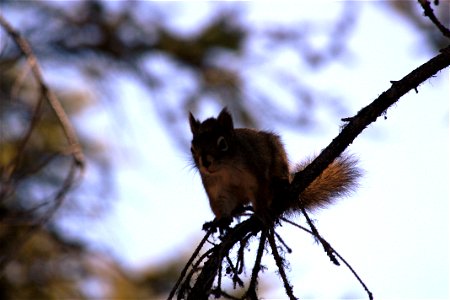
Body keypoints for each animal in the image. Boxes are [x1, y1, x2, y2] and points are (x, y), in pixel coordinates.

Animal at [188, 108, 360, 223]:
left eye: (223, 144)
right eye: (192, 148)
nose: (205, 162)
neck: (226, 169)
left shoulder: (255, 175)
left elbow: (259, 192)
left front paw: (261, 211)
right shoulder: (216, 187)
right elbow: (220, 203)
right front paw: (221, 220)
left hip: (278, 156)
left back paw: (280, 184)